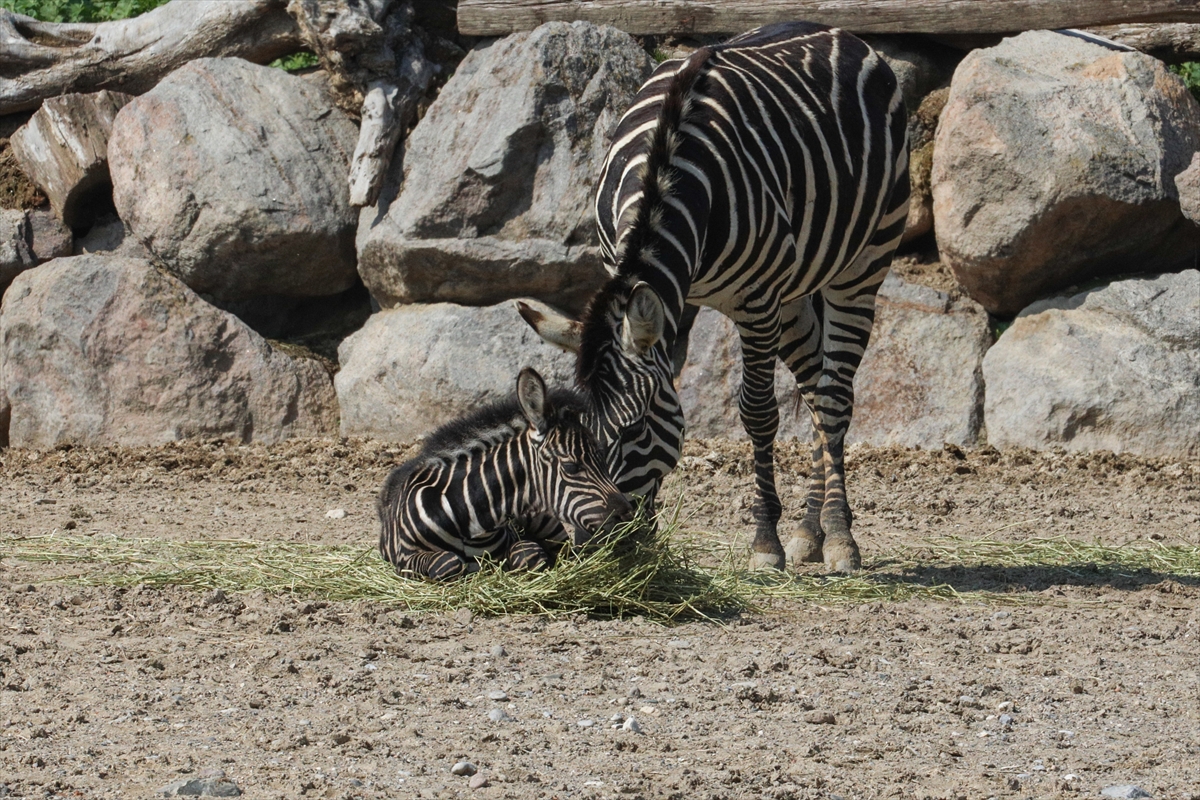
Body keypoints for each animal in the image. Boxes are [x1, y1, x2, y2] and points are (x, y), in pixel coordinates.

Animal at [376, 369, 638, 582]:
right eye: (572, 467)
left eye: (602, 460)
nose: (628, 515)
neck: (470, 521)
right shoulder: (406, 557)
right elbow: (447, 562)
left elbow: (528, 553)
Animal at [518, 21, 907, 573]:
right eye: (582, 437)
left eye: (636, 430)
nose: (603, 544)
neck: (667, 171)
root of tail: (836, 31)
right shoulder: (650, 285)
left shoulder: (756, 299)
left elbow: (759, 413)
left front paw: (765, 542)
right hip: (794, 292)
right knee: (815, 387)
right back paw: (810, 530)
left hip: (864, 260)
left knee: (834, 396)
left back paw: (836, 535)